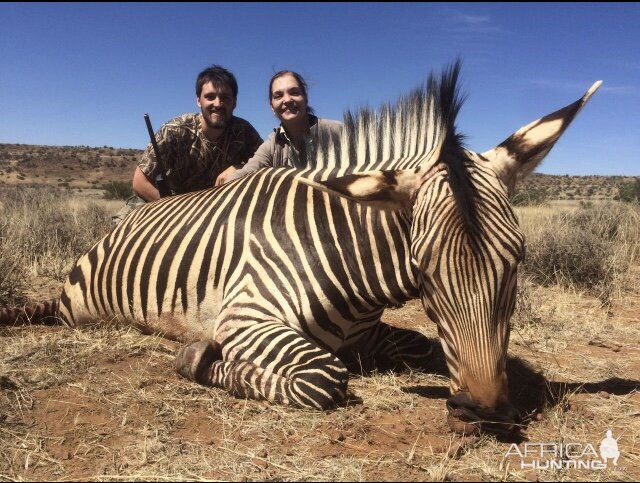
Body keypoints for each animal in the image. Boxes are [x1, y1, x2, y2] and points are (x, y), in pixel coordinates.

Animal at [1, 62, 600, 436]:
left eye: (517, 261)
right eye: (424, 269)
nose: (485, 413)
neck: (348, 262)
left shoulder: (370, 334)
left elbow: (423, 346)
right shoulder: (246, 318)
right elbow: (323, 379)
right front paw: (198, 358)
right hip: (87, 311)